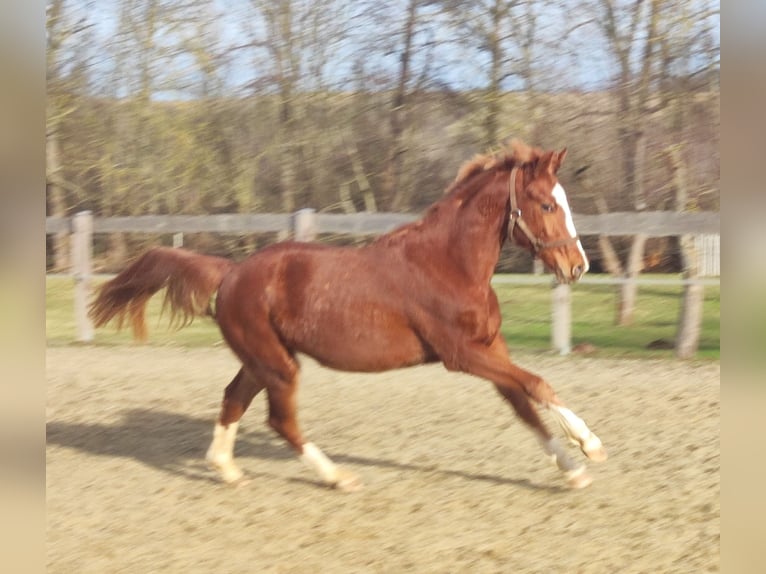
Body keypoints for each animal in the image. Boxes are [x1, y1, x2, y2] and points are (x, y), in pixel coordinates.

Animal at [90, 140, 608, 490]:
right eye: (547, 204)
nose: (578, 267)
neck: (449, 265)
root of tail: (232, 271)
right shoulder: (460, 354)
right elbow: (538, 385)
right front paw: (591, 446)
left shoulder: (490, 347)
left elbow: (524, 403)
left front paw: (571, 469)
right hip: (278, 364)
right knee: (280, 420)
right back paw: (337, 476)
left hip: (264, 359)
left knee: (233, 399)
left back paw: (228, 469)